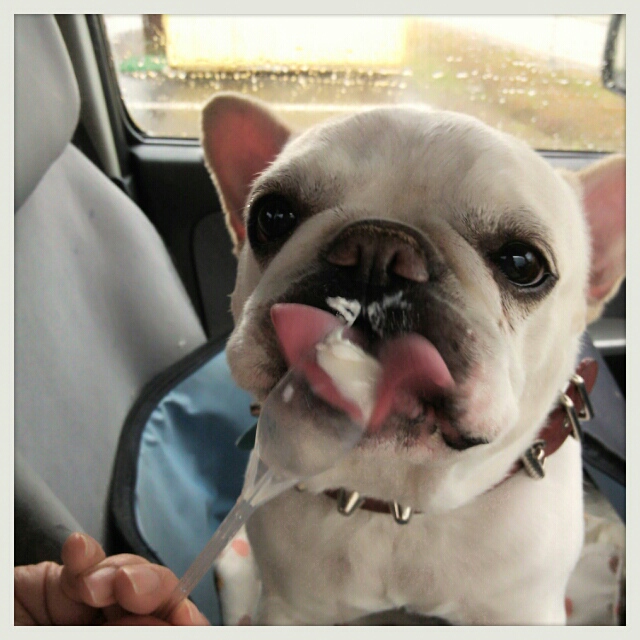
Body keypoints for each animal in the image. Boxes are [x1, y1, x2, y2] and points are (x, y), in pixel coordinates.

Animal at [201, 93, 625, 625]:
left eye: (523, 263)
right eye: (272, 216)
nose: (377, 248)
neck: (396, 500)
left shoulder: (523, 612)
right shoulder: (289, 608)